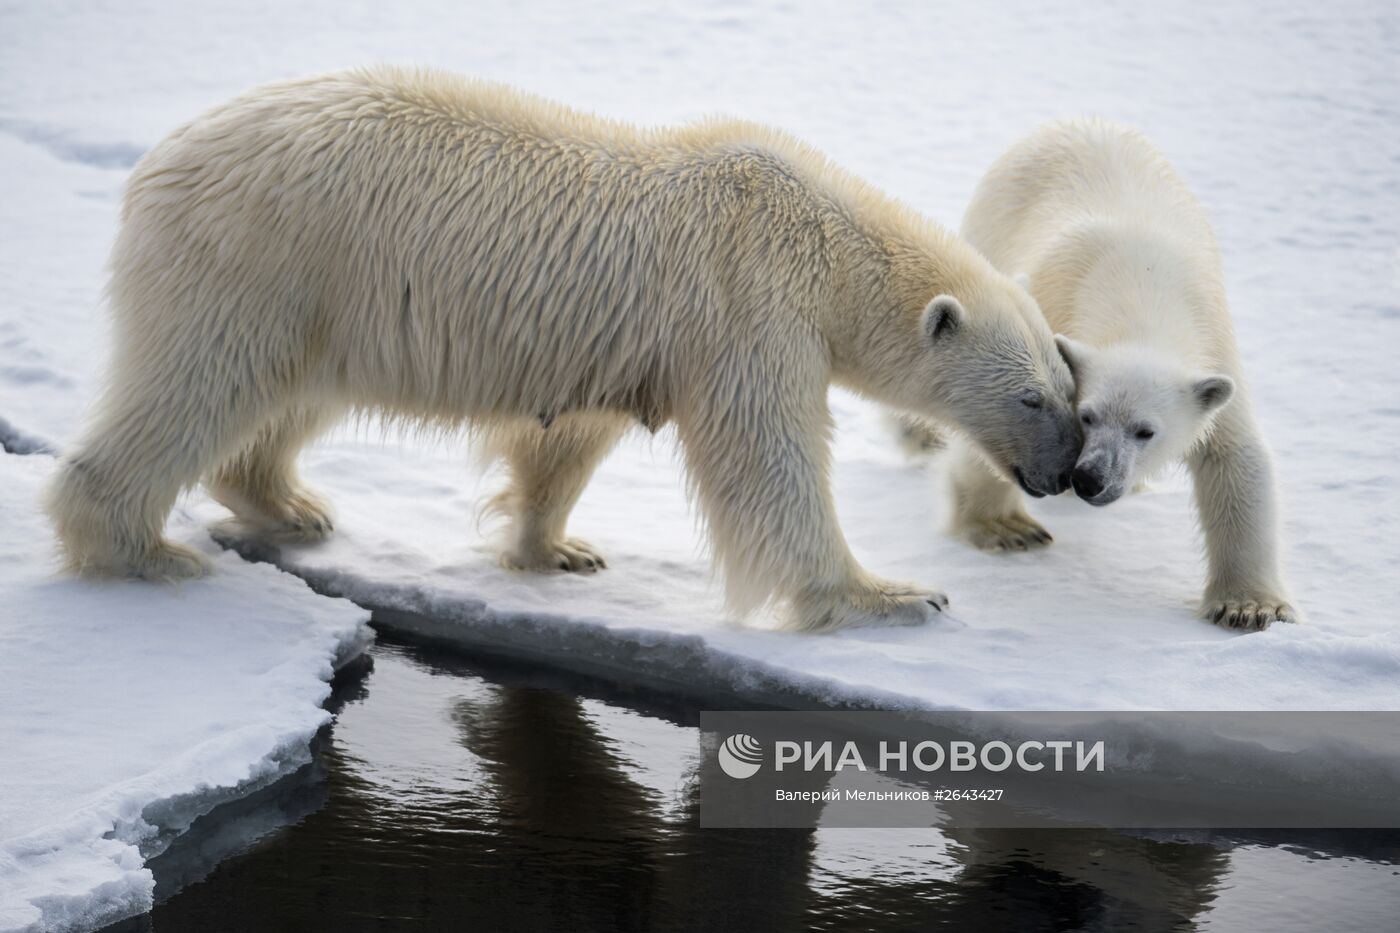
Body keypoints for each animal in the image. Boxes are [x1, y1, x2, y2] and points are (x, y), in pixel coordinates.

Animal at [40, 68, 1069, 627]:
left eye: (1068, 386)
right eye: (1032, 398)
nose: (1063, 474)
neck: (822, 234)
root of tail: (156, 162)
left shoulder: (632, 340)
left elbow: (565, 437)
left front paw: (558, 549)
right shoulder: (749, 303)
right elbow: (766, 458)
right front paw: (895, 596)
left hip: (320, 295)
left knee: (285, 397)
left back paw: (293, 504)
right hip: (259, 258)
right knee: (199, 384)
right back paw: (144, 551)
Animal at [946, 116, 1293, 624]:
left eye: (1145, 431)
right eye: (1087, 416)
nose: (1090, 478)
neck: (1140, 290)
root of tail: (1071, 121)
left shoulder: (1214, 349)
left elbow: (1233, 458)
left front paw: (1248, 607)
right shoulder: (1047, 311)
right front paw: (1005, 529)